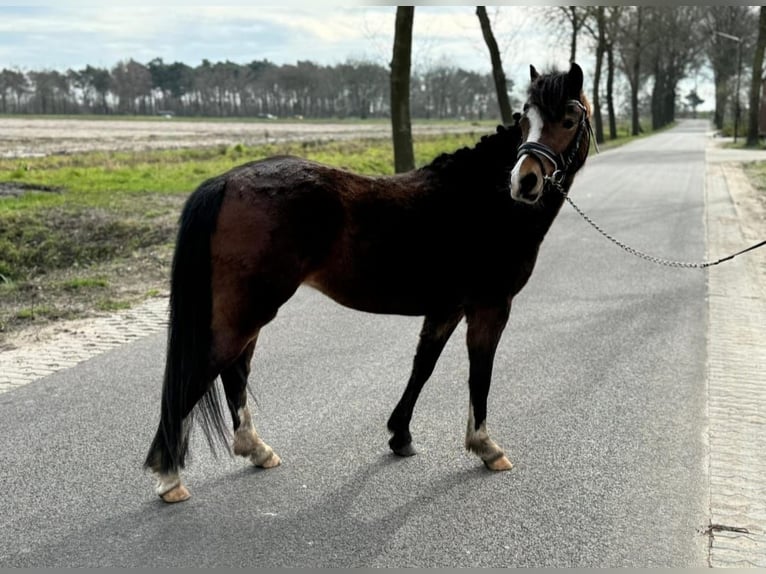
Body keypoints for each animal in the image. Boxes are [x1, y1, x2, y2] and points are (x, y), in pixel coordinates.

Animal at [146, 64, 600, 504]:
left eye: (568, 119)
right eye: (526, 119)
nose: (524, 182)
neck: (481, 201)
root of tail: (225, 182)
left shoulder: (447, 307)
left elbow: (423, 366)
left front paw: (401, 436)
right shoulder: (490, 307)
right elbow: (479, 373)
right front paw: (485, 446)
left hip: (248, 312)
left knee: (234, 373)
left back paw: (255, 450)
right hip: (247, 311)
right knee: (201, 374)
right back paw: (169, 477)